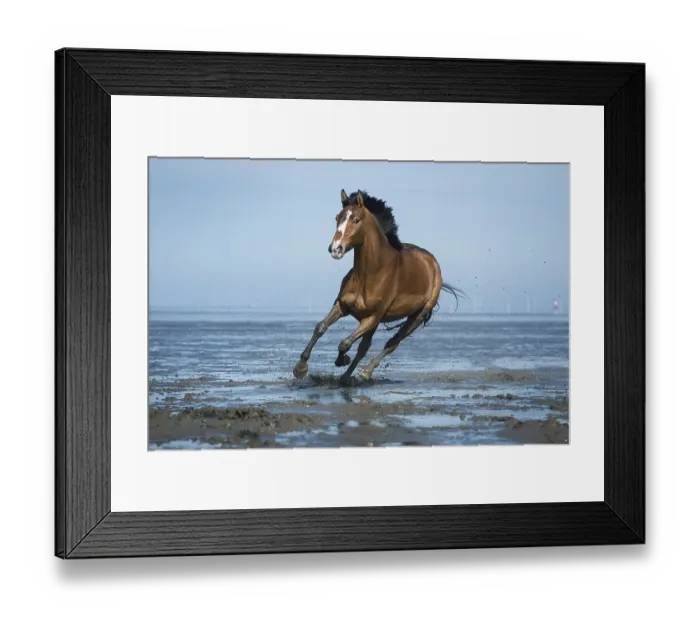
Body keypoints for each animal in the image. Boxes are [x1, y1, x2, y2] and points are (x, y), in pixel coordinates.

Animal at [293, 189, 463, 385]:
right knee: (365, 347)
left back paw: (365, 372)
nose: (335, 249)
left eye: (355, 220)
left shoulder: (372, 317)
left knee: (391, 343)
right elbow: (320, 328)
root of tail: (433, 263)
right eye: (337, 218)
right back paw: (346, 377)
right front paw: (300, 368)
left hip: (416, 317)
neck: (370, 274)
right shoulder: (342, 306)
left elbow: (345, 343)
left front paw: (342, 360)